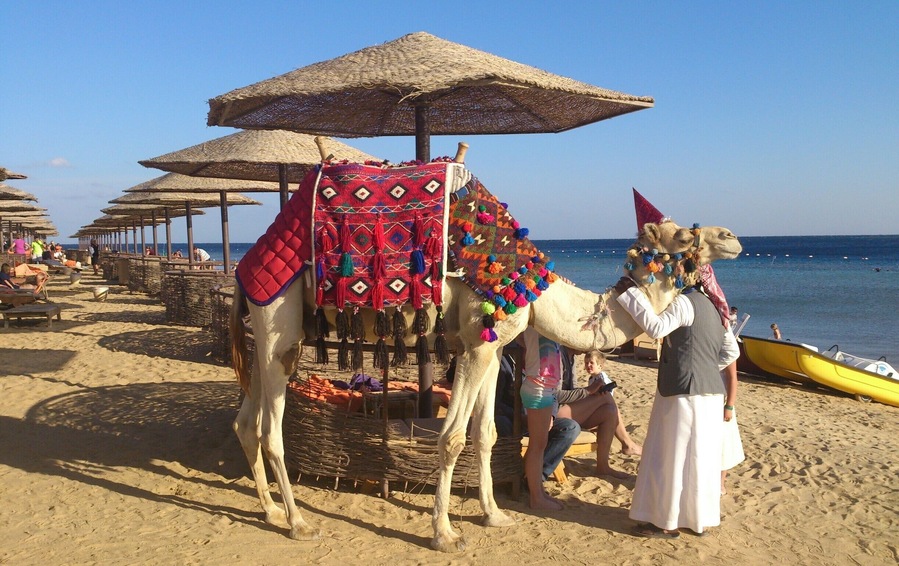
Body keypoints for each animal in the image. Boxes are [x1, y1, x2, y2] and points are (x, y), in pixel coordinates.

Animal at [228, 148, 743, 550]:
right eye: (684, 235)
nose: (733, 237)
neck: (532, 288)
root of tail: (243, 267)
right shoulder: (476, 342)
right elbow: (452, 437)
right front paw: (444, 534)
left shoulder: (493, 351)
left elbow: (487, 434)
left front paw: (494, 514)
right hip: (277, 321)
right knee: (270, 429)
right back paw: (298, 523)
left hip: (278, 338)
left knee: (246, 421)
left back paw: (271, 511)